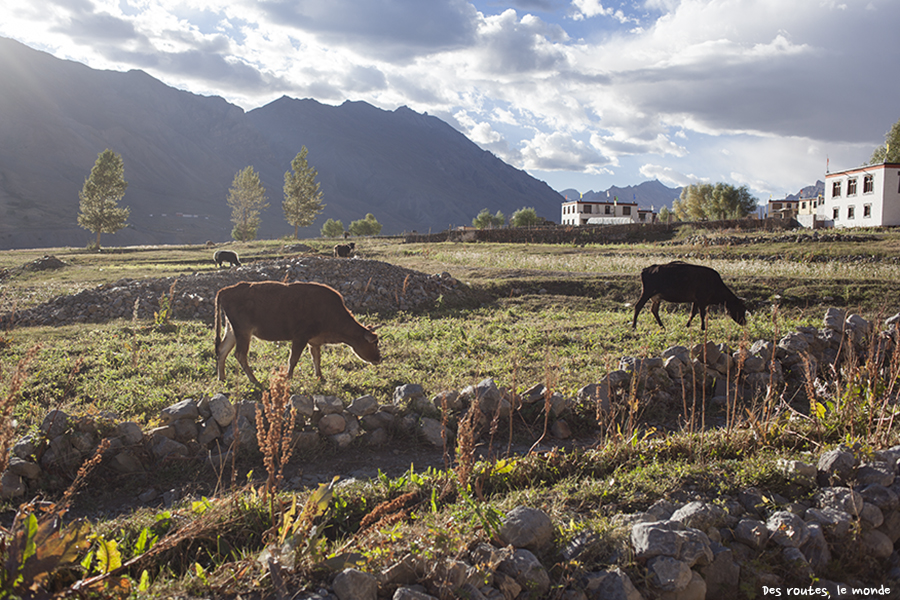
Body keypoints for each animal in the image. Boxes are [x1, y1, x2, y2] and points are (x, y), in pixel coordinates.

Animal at [216, 280, 382, 384]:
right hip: (243, 331)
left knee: (222, 350)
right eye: (374, 343)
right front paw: (288, 378)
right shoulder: (300, 337)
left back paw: (222, 378)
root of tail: (227, 290)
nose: (379, 359)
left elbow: (316, 359)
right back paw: (255, 380)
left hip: (232, 330)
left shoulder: (314, 341)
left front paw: (320, 377)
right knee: (240, 354)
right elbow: (293, 359)